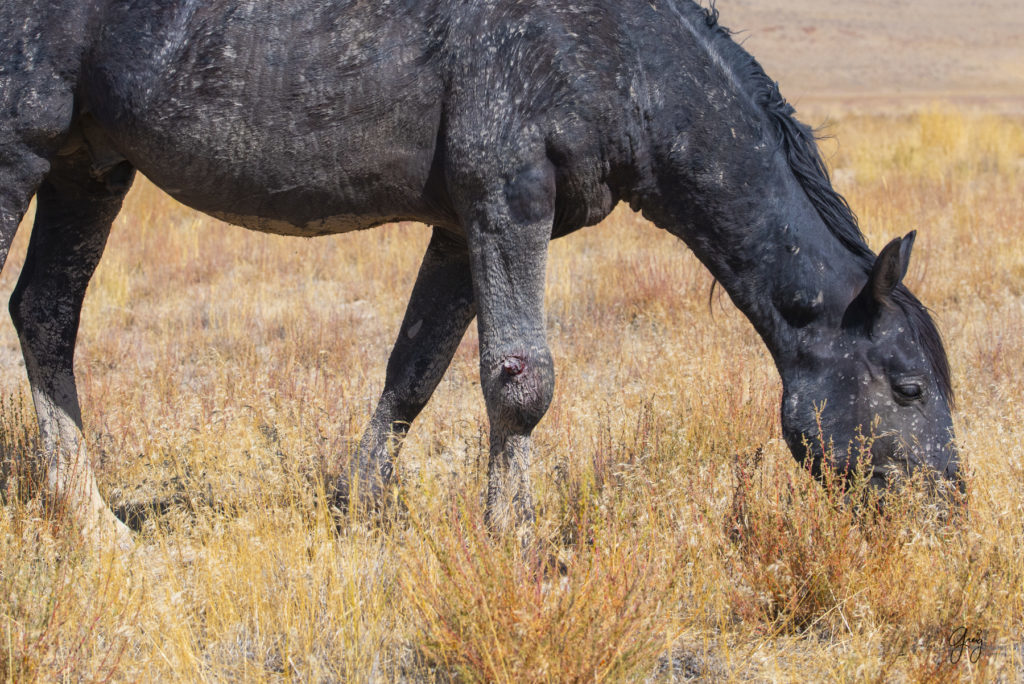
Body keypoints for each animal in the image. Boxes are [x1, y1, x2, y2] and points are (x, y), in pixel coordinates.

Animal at [0, 0, 958, 544]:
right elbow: (520, 383)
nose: (948, 518)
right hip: (21, 152)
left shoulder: (461, 231)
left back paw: (92, 522)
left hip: (90, 166)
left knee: (45, 313)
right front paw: (512, 540)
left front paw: (365, 517)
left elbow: (415, 371)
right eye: (908, 388)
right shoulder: (509, 201)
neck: (619, 56)